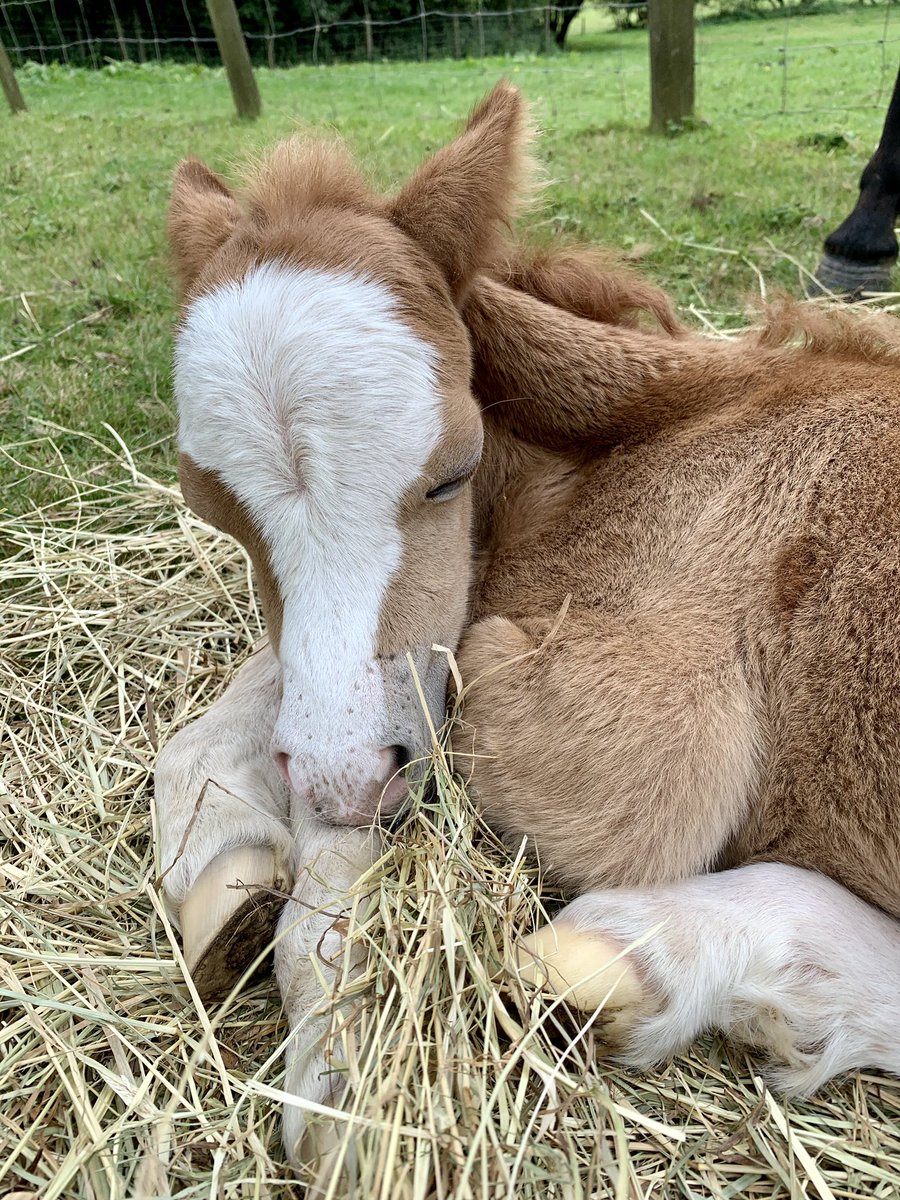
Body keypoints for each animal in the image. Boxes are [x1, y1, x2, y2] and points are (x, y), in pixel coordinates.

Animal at [155, 82, 900, 1167]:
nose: (344, 780)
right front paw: (229, 861)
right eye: (212, 510)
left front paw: (341, 1074)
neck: (665, 431)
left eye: (452, 472)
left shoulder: (634, 742)